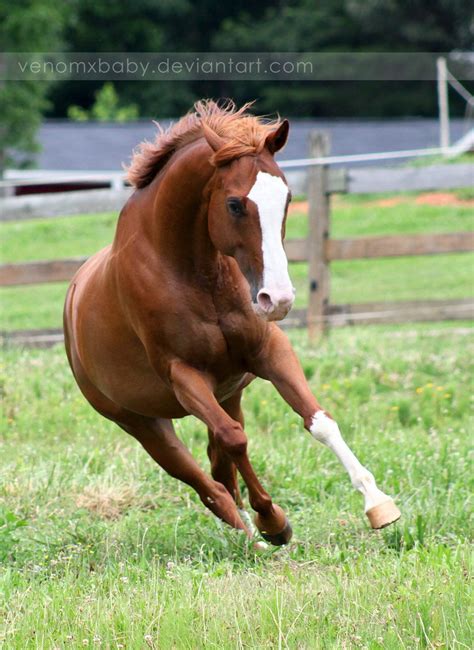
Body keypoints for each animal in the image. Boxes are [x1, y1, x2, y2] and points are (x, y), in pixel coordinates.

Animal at [65, 101, 400, 544]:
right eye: (235, 204)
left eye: (287, 197)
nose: (277, 299)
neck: (195, 274)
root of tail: (72, 298)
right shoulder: (183, 375)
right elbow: (235, 440)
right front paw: (274, 523)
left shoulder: (269, 352)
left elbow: (319, 421)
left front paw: (379, 504)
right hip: (142, 423)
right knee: (205, 483)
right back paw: (251, 535)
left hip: (228, 395)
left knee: (218, 468)